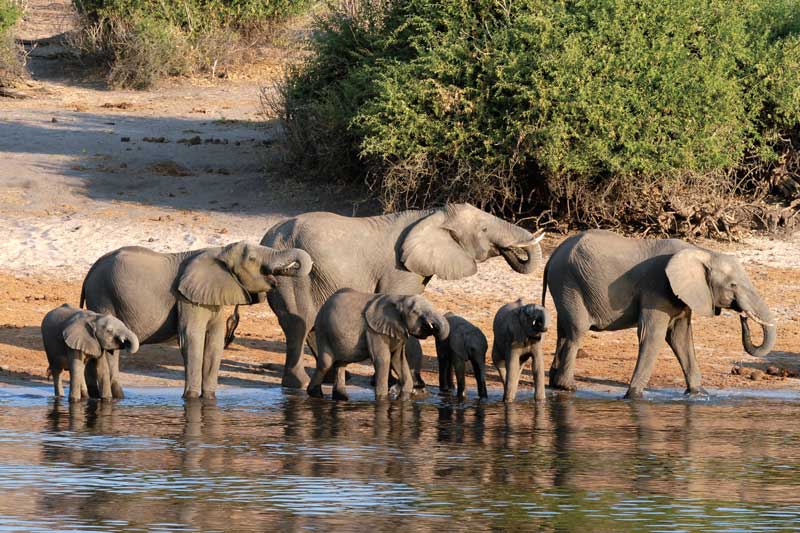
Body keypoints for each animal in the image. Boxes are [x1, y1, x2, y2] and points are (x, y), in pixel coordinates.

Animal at [81, 241, 312, 400]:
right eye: (253, 259)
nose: (285, 270)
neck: (220, 251)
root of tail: (89, 273)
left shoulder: (213, 297)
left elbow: (215, 342)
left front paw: (209, 399)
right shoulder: (187, 299)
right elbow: (191, 338)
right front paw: (191, 399)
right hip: (102, 296)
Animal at [256, 203, 544, 386]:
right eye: (484, 230)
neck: (431, 214)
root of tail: (267, 238)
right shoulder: (399, 269)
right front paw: (403, 384)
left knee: (311, 325)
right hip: (292, 277)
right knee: (299, 324)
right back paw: (298, 384)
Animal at [310, 290, 450, 400]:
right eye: (415, 312)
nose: (433, 327)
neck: (400, 299)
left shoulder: (398, 331)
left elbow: (398, 360)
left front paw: (403, 397)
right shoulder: (374, 331)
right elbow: (383, 359)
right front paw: (382, 400)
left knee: (340, 364)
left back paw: (341, 398)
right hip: (323, 330)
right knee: (325, 363)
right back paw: (315, 395)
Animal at [544, 230, 776, 400]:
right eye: (733, 285)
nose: (743, 316)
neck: (703, 253)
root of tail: (553, 254)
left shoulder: (682, 294)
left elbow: (680, 337)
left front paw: (699, 394)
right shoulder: (656, 288)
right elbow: (652, 335)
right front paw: (633, 397)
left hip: (565, 285)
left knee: (562, 331)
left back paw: (556, 384)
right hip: (569, 283)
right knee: (576, 332)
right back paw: (568, 387)